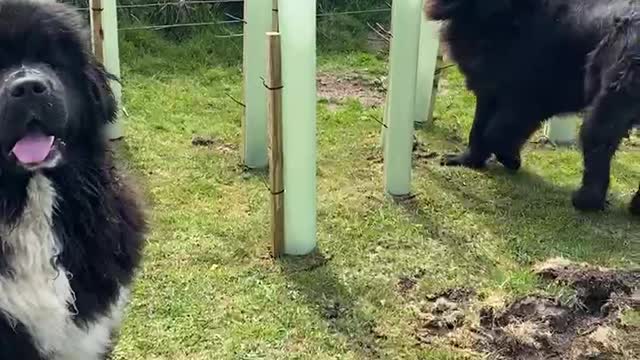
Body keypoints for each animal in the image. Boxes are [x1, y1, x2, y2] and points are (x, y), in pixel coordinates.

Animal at [428, 0, 640, 214]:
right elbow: (478, 129)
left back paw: (586, 201)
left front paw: (509, 158)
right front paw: (467, 160)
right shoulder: (489, 86)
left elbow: (494, 130)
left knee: (598, 147)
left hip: (608, 102)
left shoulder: (524, 95)